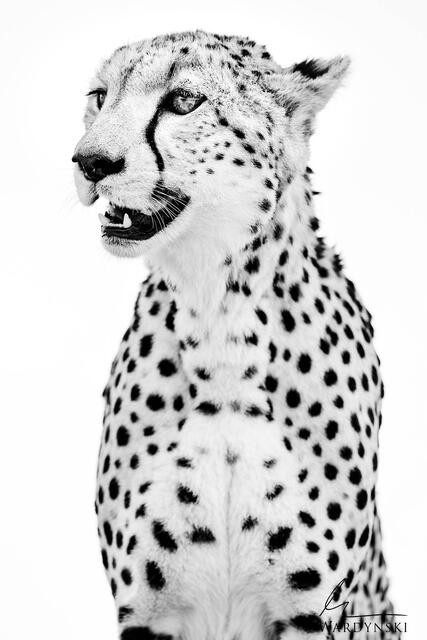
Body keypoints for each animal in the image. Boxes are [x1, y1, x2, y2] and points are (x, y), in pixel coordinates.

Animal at [72, 30, 402, 640]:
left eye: (183, 101)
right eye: (100, 96)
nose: (89, 161)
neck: (218, 320)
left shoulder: (313, 611)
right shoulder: (147, 612)